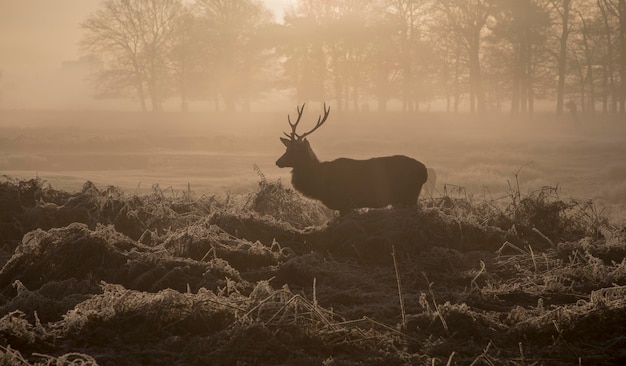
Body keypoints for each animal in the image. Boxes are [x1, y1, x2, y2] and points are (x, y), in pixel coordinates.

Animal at [276, 103, 426, 214]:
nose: (278, 162)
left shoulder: (345, 203)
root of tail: (424, 171)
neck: (321, 184)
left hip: (408, 197)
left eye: (296, 151)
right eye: (286, 149)